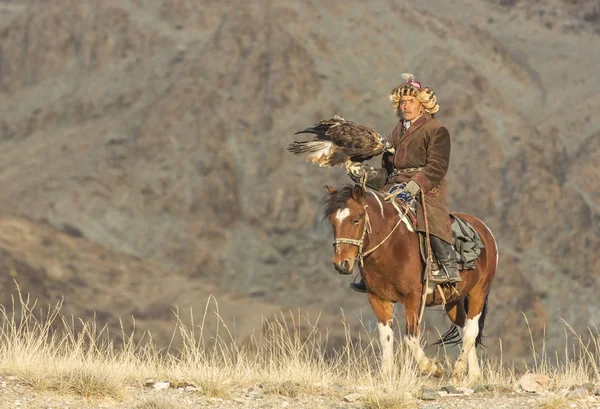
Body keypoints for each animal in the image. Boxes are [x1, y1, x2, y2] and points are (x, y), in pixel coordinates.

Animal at [326, 183, 500, 380]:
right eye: (332, 222)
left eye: (356, 220)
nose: (341, 264)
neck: (392, 246)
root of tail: (483, 230)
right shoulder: (378, 298)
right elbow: (385, 337)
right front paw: (388, 375)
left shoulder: (414, 298)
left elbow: (410, 338)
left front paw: (432, 368)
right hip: (453, 301)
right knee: (463, 329)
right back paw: (473, 376)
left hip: (479, 291)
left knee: (471, 331)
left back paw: (459, 371)